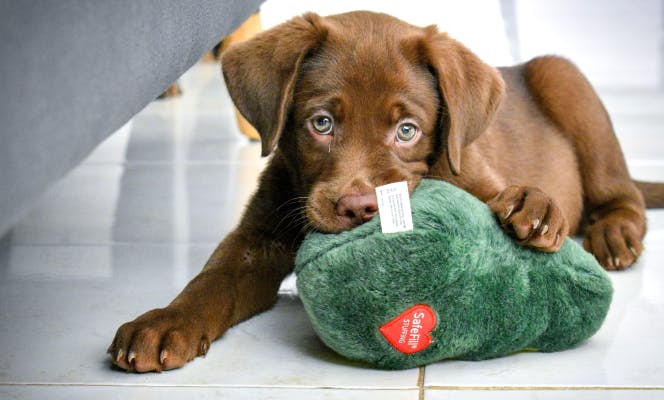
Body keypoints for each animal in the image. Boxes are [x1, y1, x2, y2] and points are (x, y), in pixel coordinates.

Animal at [106, 11, 660, 372]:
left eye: (407, 131)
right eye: (321, 123)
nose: (357, 208)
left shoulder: (476, 175)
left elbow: (506, 198)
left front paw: (535, 205)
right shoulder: (256, 238)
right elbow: (212, 280)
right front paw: (165, 322)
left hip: (567, 81)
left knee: (623, 194)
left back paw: (614, 234)